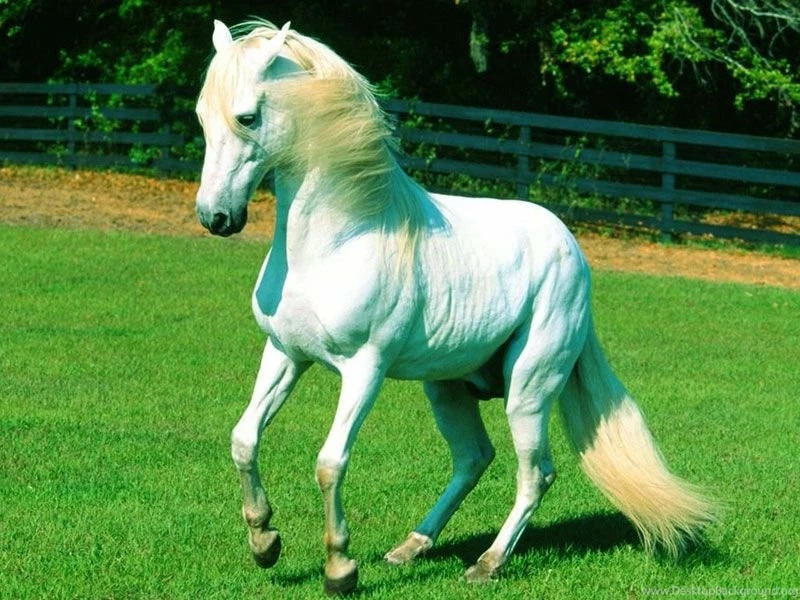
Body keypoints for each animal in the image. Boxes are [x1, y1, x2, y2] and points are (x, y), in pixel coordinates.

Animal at [194, 18, 714, 595]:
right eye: (201, 115)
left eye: (247, 116)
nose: (215, 218)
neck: (338, 241)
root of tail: (572, 249)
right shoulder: (286, 354)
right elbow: (244, 439)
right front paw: (265, 543)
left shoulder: (364, 369)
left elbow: (331, 462)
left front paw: (339, 569)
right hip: (446, 388)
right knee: (473, 457)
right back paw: (410, 548)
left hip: (529, 389)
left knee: (536, 473)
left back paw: (487, 564)